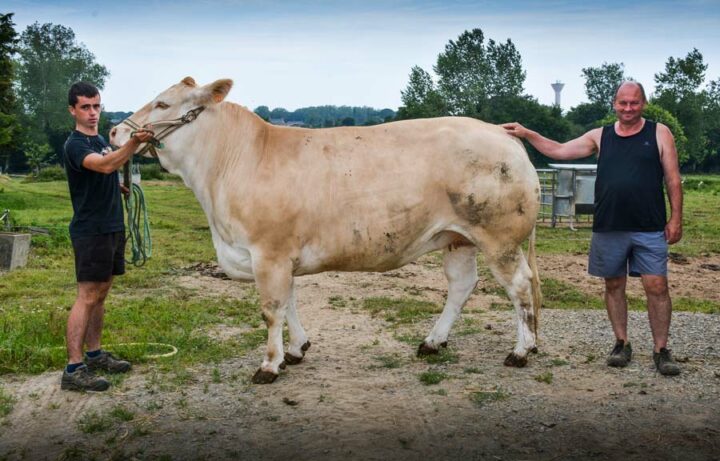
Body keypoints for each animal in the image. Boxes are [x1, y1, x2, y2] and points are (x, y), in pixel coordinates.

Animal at [111, 77, 540, 382]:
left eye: (163, 103)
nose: (115, 132)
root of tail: (502, 133)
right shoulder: (280, 257)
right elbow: (289, 304)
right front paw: (296, 350)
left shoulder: (269, 253)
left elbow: (271, 310)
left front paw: (269, 365)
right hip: (458, 238)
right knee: (462, 286)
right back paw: (433, 342)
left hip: (499, 238)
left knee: (519, 287)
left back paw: (521, 351)